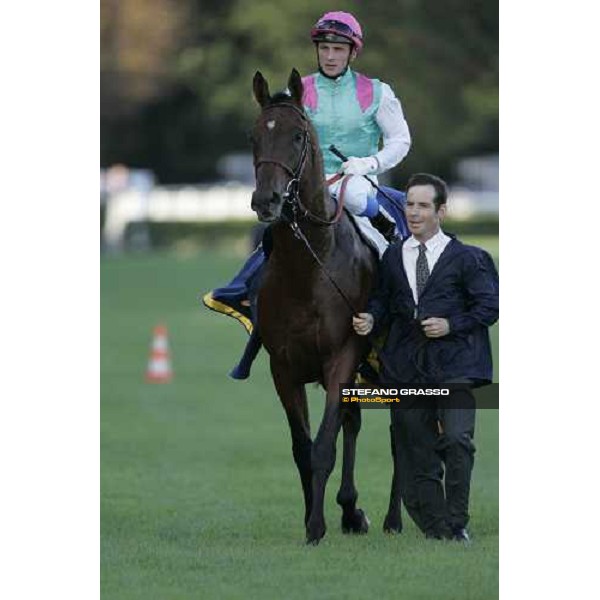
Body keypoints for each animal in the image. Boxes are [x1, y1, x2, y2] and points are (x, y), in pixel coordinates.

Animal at [251, 69, 378, 544]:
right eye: (254, 136)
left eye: (298, 136)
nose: (266, 200)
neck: (309, 266)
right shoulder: (283, 368)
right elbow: (302, 449)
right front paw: (312, 517)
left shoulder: (342, 357)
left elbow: (325, 444)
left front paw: (318, 525)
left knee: (355, 424)